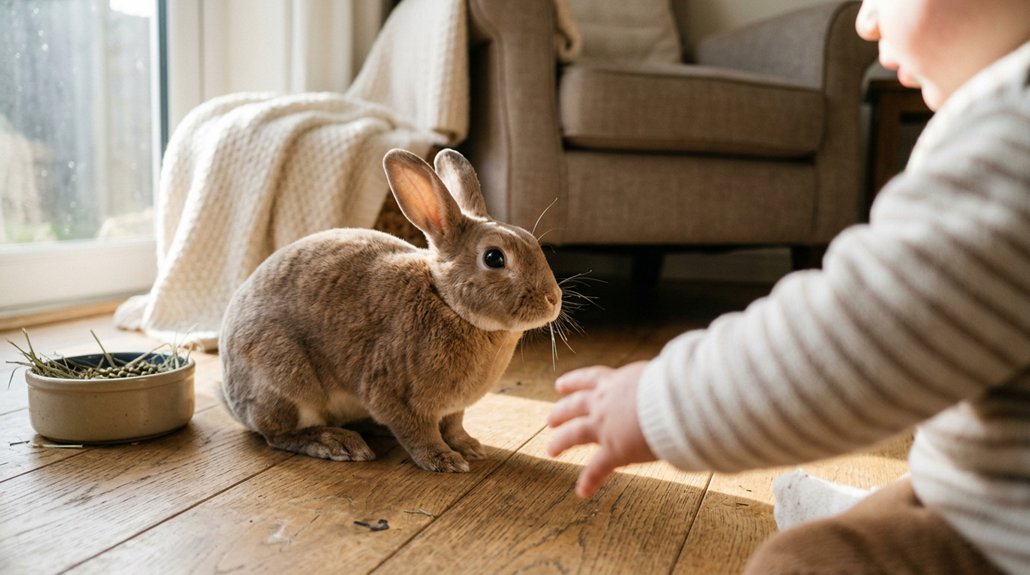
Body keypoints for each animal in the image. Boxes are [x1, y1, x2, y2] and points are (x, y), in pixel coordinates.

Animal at [219, 148, 562, 473]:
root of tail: (232, 398)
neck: (446, 302)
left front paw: (470, 447)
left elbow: (454, 426)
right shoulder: (392, 394)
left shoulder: (453, 409)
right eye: (494, 258)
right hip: (286, 380)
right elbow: (419, 433)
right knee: (278, 433)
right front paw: (444, 460)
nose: (553, 299)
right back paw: (337, 443)